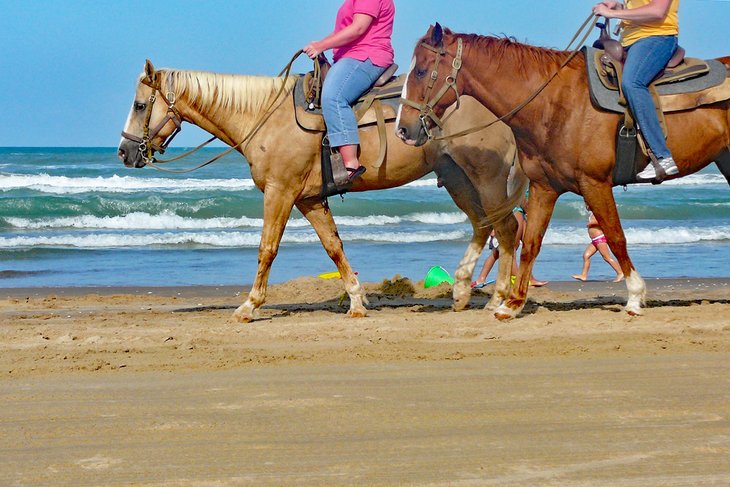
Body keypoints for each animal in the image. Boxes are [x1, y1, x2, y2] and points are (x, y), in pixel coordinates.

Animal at [116, 59, 524, 322]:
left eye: (139, 104)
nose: (124, 152)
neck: (265, 116)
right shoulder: (310, 199)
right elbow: (334, 247)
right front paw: (357, 301)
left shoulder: (280, 192)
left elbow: (267, 248)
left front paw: (249, 306)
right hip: (457, 178)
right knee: (483, 225)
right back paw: (463, 290)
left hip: (485, 177)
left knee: (506, 229)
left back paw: (499, 300)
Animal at [396, 23, 728, 320]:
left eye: (421, 71)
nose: (403, 129)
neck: (554, 102)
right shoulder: (545, 187)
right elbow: (530, 244)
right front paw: (511, 305)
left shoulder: (594, 184)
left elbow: (616, 236)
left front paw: (635, 297)